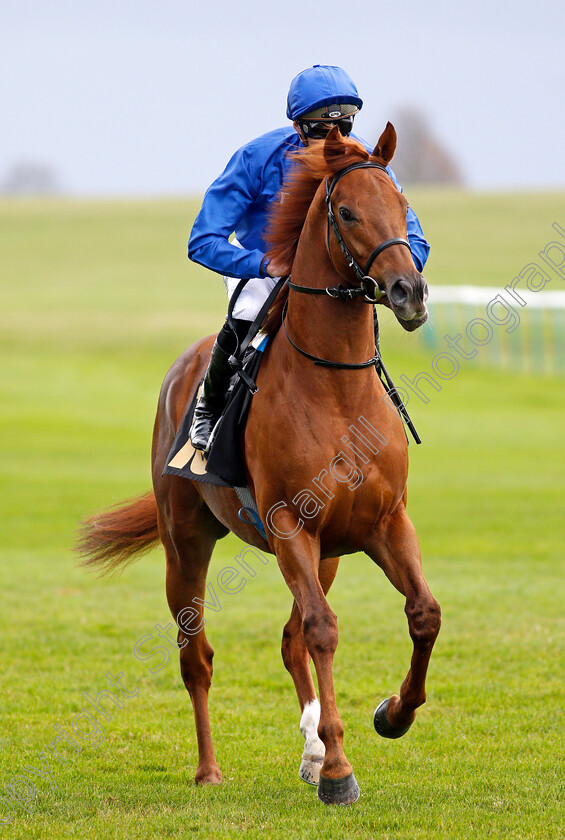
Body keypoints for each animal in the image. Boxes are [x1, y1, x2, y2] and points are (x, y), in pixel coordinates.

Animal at [78, 126, 440, 808]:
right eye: (347, 212)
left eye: (403, 205)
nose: (409, 291)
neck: (336, 389)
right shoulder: (290, 524)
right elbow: (324, 631)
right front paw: (339, 768)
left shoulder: (384, 523)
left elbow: (422, 614)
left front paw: (391, 715)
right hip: (187, 544)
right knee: (197, 656)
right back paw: (210, 768)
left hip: (326, 556)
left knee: (289, 638)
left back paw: (311, 749)